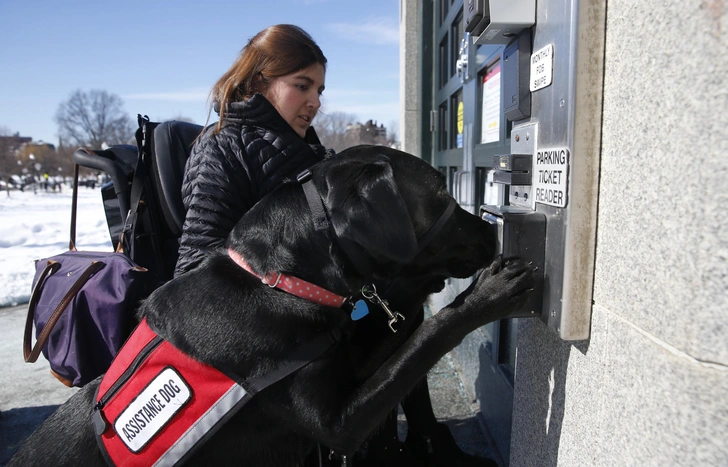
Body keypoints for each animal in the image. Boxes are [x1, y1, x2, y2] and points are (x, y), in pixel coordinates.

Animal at [11, 147, 536, 467]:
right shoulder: (338, 423)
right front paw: (485, 296)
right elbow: (425, 340)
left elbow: (404, 346)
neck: (280, 283)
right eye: (442, 194)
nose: (492, 228)